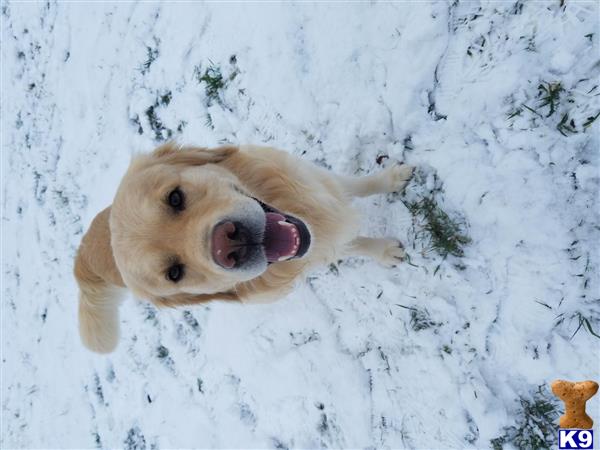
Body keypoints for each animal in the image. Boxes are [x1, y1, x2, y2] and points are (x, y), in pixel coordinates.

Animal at [74, 142, 412, 354]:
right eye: (174, 273)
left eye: (175, 198)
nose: (229, 242)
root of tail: (84, 251)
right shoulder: (320, 249)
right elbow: (353, 244)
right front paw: (385, 252)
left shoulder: (313, 181)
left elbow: (354, 186)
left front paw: (391, 178)